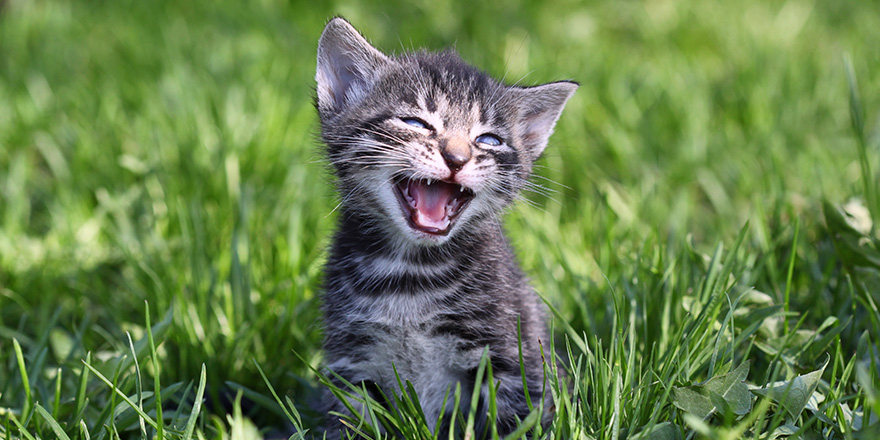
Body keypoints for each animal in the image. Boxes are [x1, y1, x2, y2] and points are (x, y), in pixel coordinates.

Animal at [316, 16, 576, 436]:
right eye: (415, 122)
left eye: (489, 139)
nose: (456, 157)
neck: (409, 274)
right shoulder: (352, 363)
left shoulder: (511, 358)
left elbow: (514, 421)